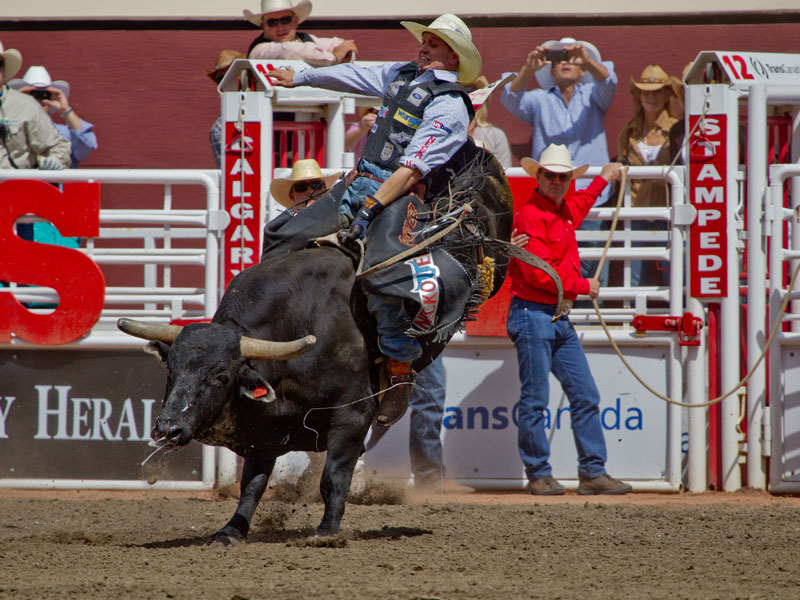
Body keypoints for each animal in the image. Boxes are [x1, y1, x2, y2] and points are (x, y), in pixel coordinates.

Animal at [119, 144, 564, 540]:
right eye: (171, 371)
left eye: (221, 376)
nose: (167, 428)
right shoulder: (265, 429)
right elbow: (253, 485)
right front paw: (231, 531)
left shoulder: (352, 416)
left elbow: (334, 476)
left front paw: (326, 531)